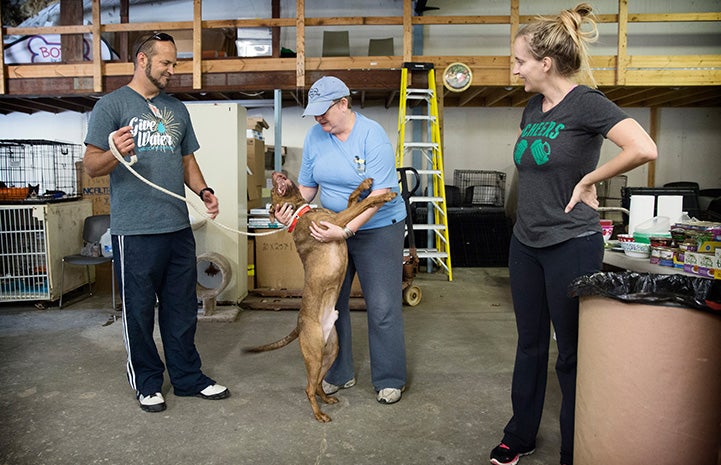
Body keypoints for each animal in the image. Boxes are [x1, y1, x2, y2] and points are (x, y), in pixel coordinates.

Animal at [246, 172, 394, 422]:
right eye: (274, 191)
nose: (275, 173)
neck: (301, 213)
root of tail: (299, 324)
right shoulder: (336, 222)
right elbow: (362, 204)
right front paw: (383, 196)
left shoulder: (338, 218)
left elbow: (353, 198)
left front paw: (364, 185)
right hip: (314, 354)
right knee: (308, 387)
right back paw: (319, 414)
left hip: (331, 351)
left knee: (316, 384)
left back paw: (326, 399)